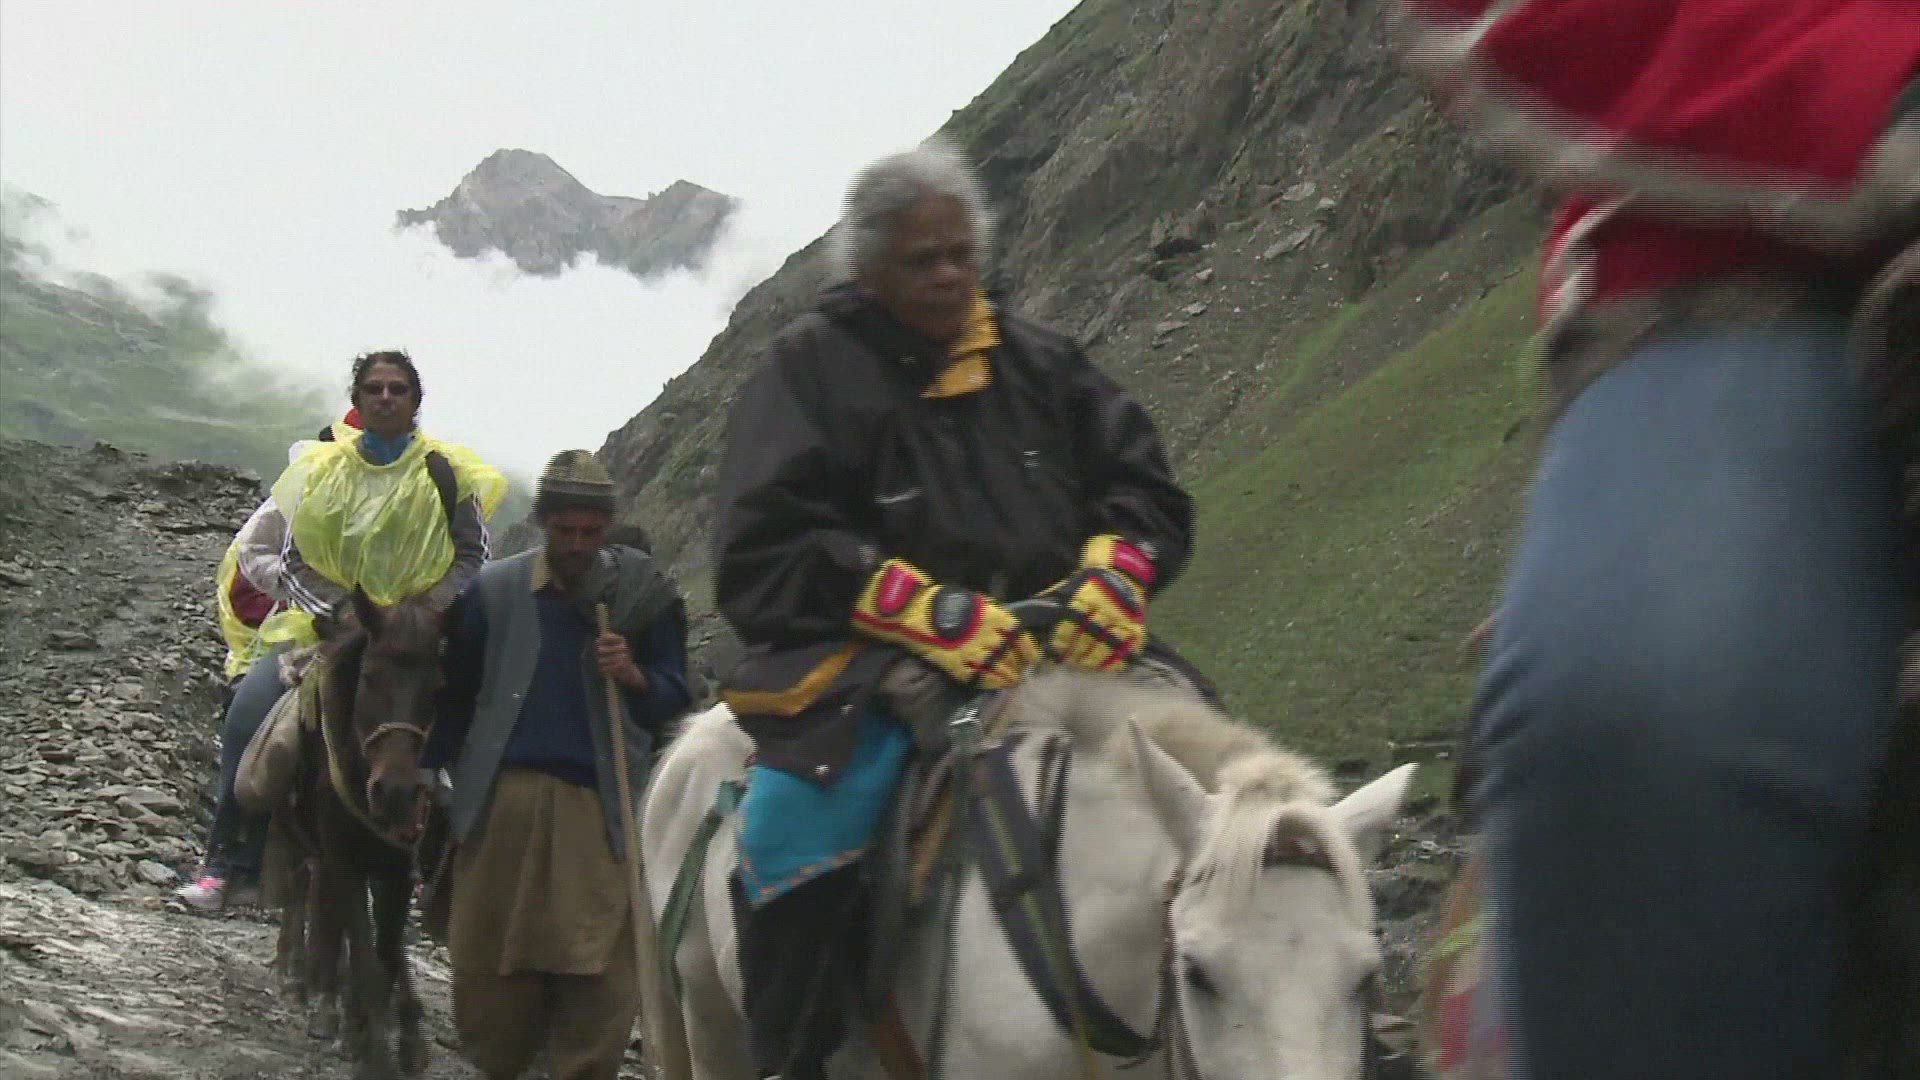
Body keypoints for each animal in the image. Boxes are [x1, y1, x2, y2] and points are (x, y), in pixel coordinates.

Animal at [275, 589, 441, 1080]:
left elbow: (385, 950)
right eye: (369, 676)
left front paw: (393, 1036)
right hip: (295, 834)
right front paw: (371, 1053)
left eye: (439, 686)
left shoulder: (399, 867)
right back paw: (298, 978)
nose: (397, 791)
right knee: (300, 890)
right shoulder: (343, 857)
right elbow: (364, 950)